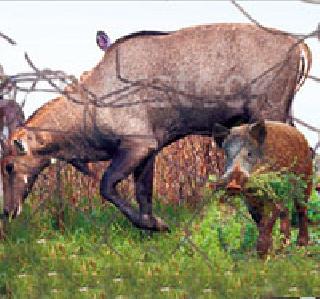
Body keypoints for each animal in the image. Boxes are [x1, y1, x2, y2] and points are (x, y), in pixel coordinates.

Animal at [0, 24, 310, 232]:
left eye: (9, 166)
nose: (7, 211)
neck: (90, 106)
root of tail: (300, 47)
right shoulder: (150, 148)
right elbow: (143, 192)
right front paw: (151, 224)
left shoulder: (138, 143)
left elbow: (107, 186)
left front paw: (156, 225)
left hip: (269, 112)